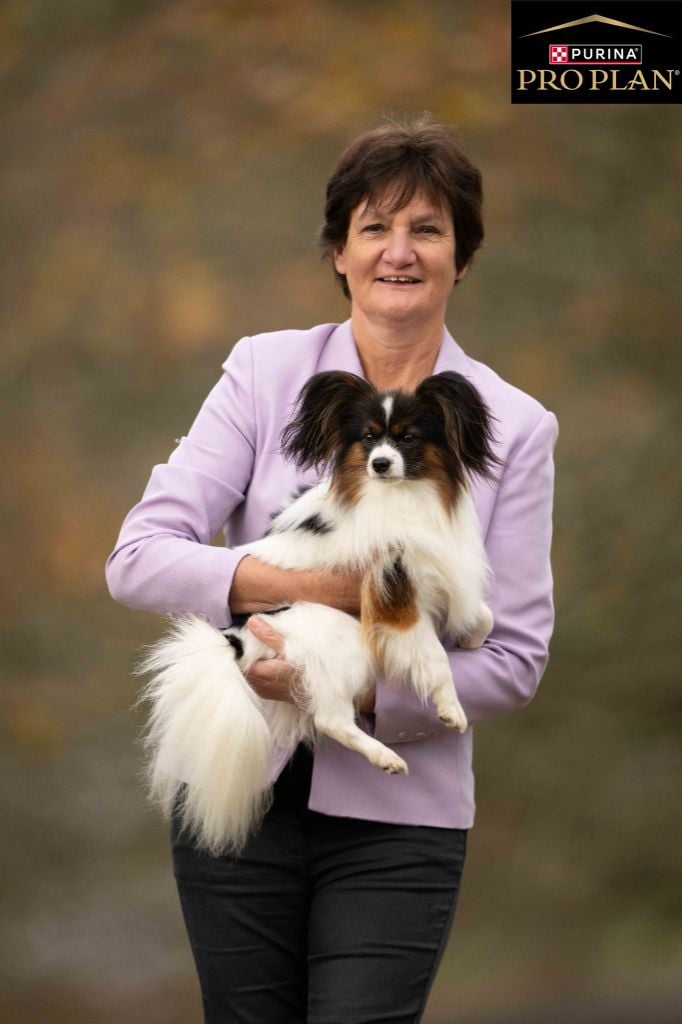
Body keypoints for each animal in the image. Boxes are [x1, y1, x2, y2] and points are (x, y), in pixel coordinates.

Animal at [139, 368, 499, 856]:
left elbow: (482, 615)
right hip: (342, 640)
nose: (379, 464)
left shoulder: (434, 574)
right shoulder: (396, 597)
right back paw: (385, 757)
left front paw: (470, 637)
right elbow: (434, 659)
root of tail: (235, 639)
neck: (402, 497)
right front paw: (450, 708)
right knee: (331, 719)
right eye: (368, 439)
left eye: (408, 438)